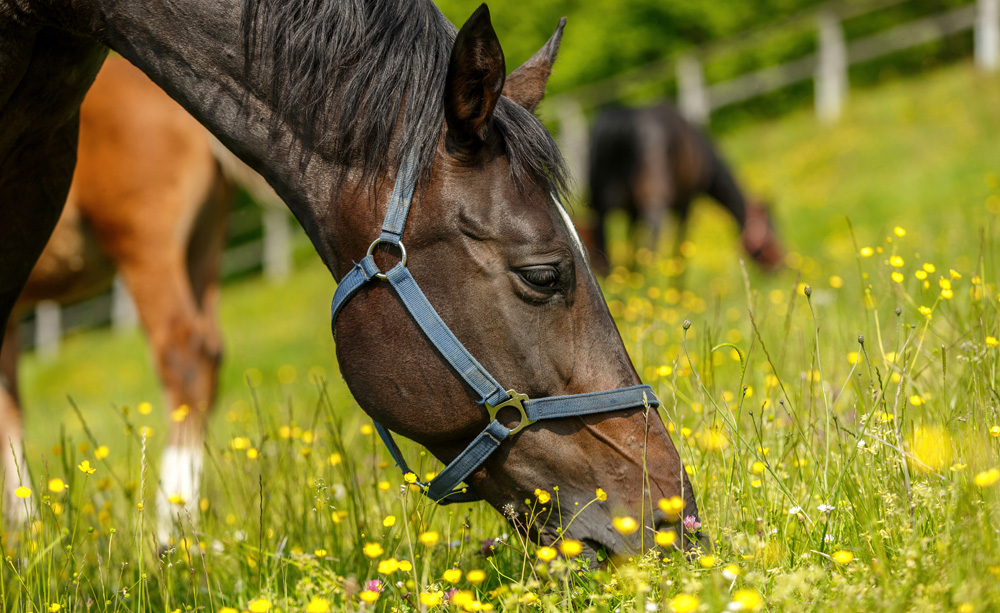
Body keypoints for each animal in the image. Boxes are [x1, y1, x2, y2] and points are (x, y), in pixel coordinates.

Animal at [587, 103, 784, 274]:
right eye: (771, 235)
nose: (782, 265)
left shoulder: (633, 213)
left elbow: (632, 247)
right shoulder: (686, 204)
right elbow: (679, 250)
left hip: (600, 207)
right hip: (654, 207)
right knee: (651, 248)